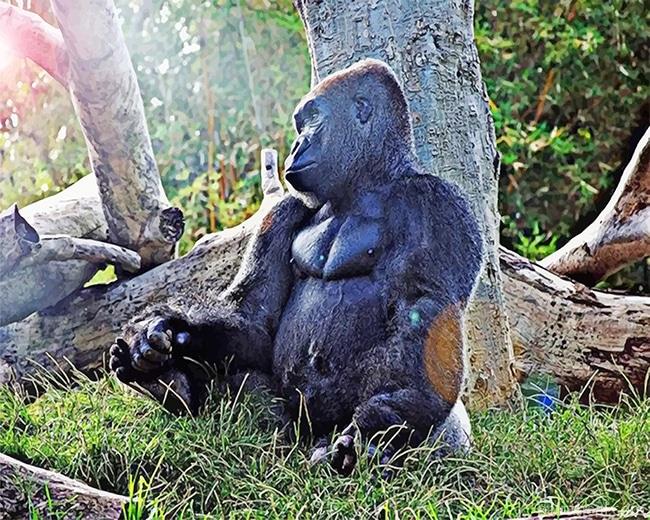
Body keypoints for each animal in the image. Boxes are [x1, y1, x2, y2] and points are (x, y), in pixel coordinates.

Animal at [109, 58, 483, 475]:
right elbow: (255, 317)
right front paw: (167, 331)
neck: (370, 183)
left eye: (313, 118)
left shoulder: (438, 207)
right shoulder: (284, 210)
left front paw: (370, 435)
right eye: (300, 124)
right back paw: (167, 385)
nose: (295, 145)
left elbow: (423, 321)